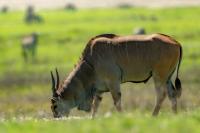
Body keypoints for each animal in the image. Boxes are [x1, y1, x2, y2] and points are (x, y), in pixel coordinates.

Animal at [49, 33, 181, 117]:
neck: (90, 61)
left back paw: (153, 116)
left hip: (158, 76)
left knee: (161, 95)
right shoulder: (99, 90)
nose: (56, 117)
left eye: (54, 105)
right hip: (167, 78)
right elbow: (95, 106)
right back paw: (175, 117)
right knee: (172, 96)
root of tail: (175, 42)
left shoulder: (113, 83)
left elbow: (117, 103)